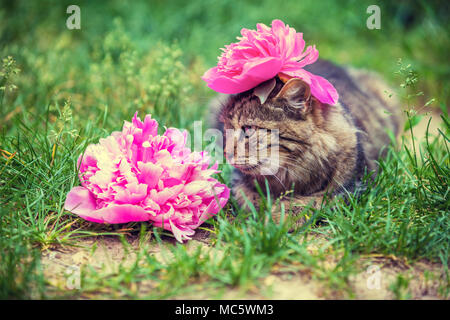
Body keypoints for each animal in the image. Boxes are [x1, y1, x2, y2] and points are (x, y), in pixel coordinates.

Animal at [209, 59, 402, 222]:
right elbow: (248, 197)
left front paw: (276, 218)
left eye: (248, 129)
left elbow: (309, 203)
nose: (226, 154)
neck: (288, 174)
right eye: (226, 127)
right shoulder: (238, 181)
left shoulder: (352, 187)